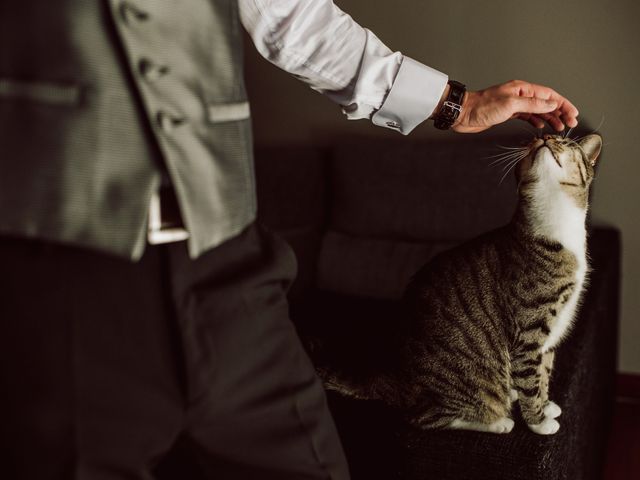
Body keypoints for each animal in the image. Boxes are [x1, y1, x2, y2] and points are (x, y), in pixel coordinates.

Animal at [322, 132, 604, 436]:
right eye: (536, 137)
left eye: (565, 141)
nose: (544, 135)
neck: (556, 225)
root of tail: (395, 381)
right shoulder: (529, 329)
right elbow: (531, 380)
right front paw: (538, 422)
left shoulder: (552, 332)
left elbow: (543, 374)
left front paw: (546, 404)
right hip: (461, 387)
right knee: (427, 418)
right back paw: (498, 421)